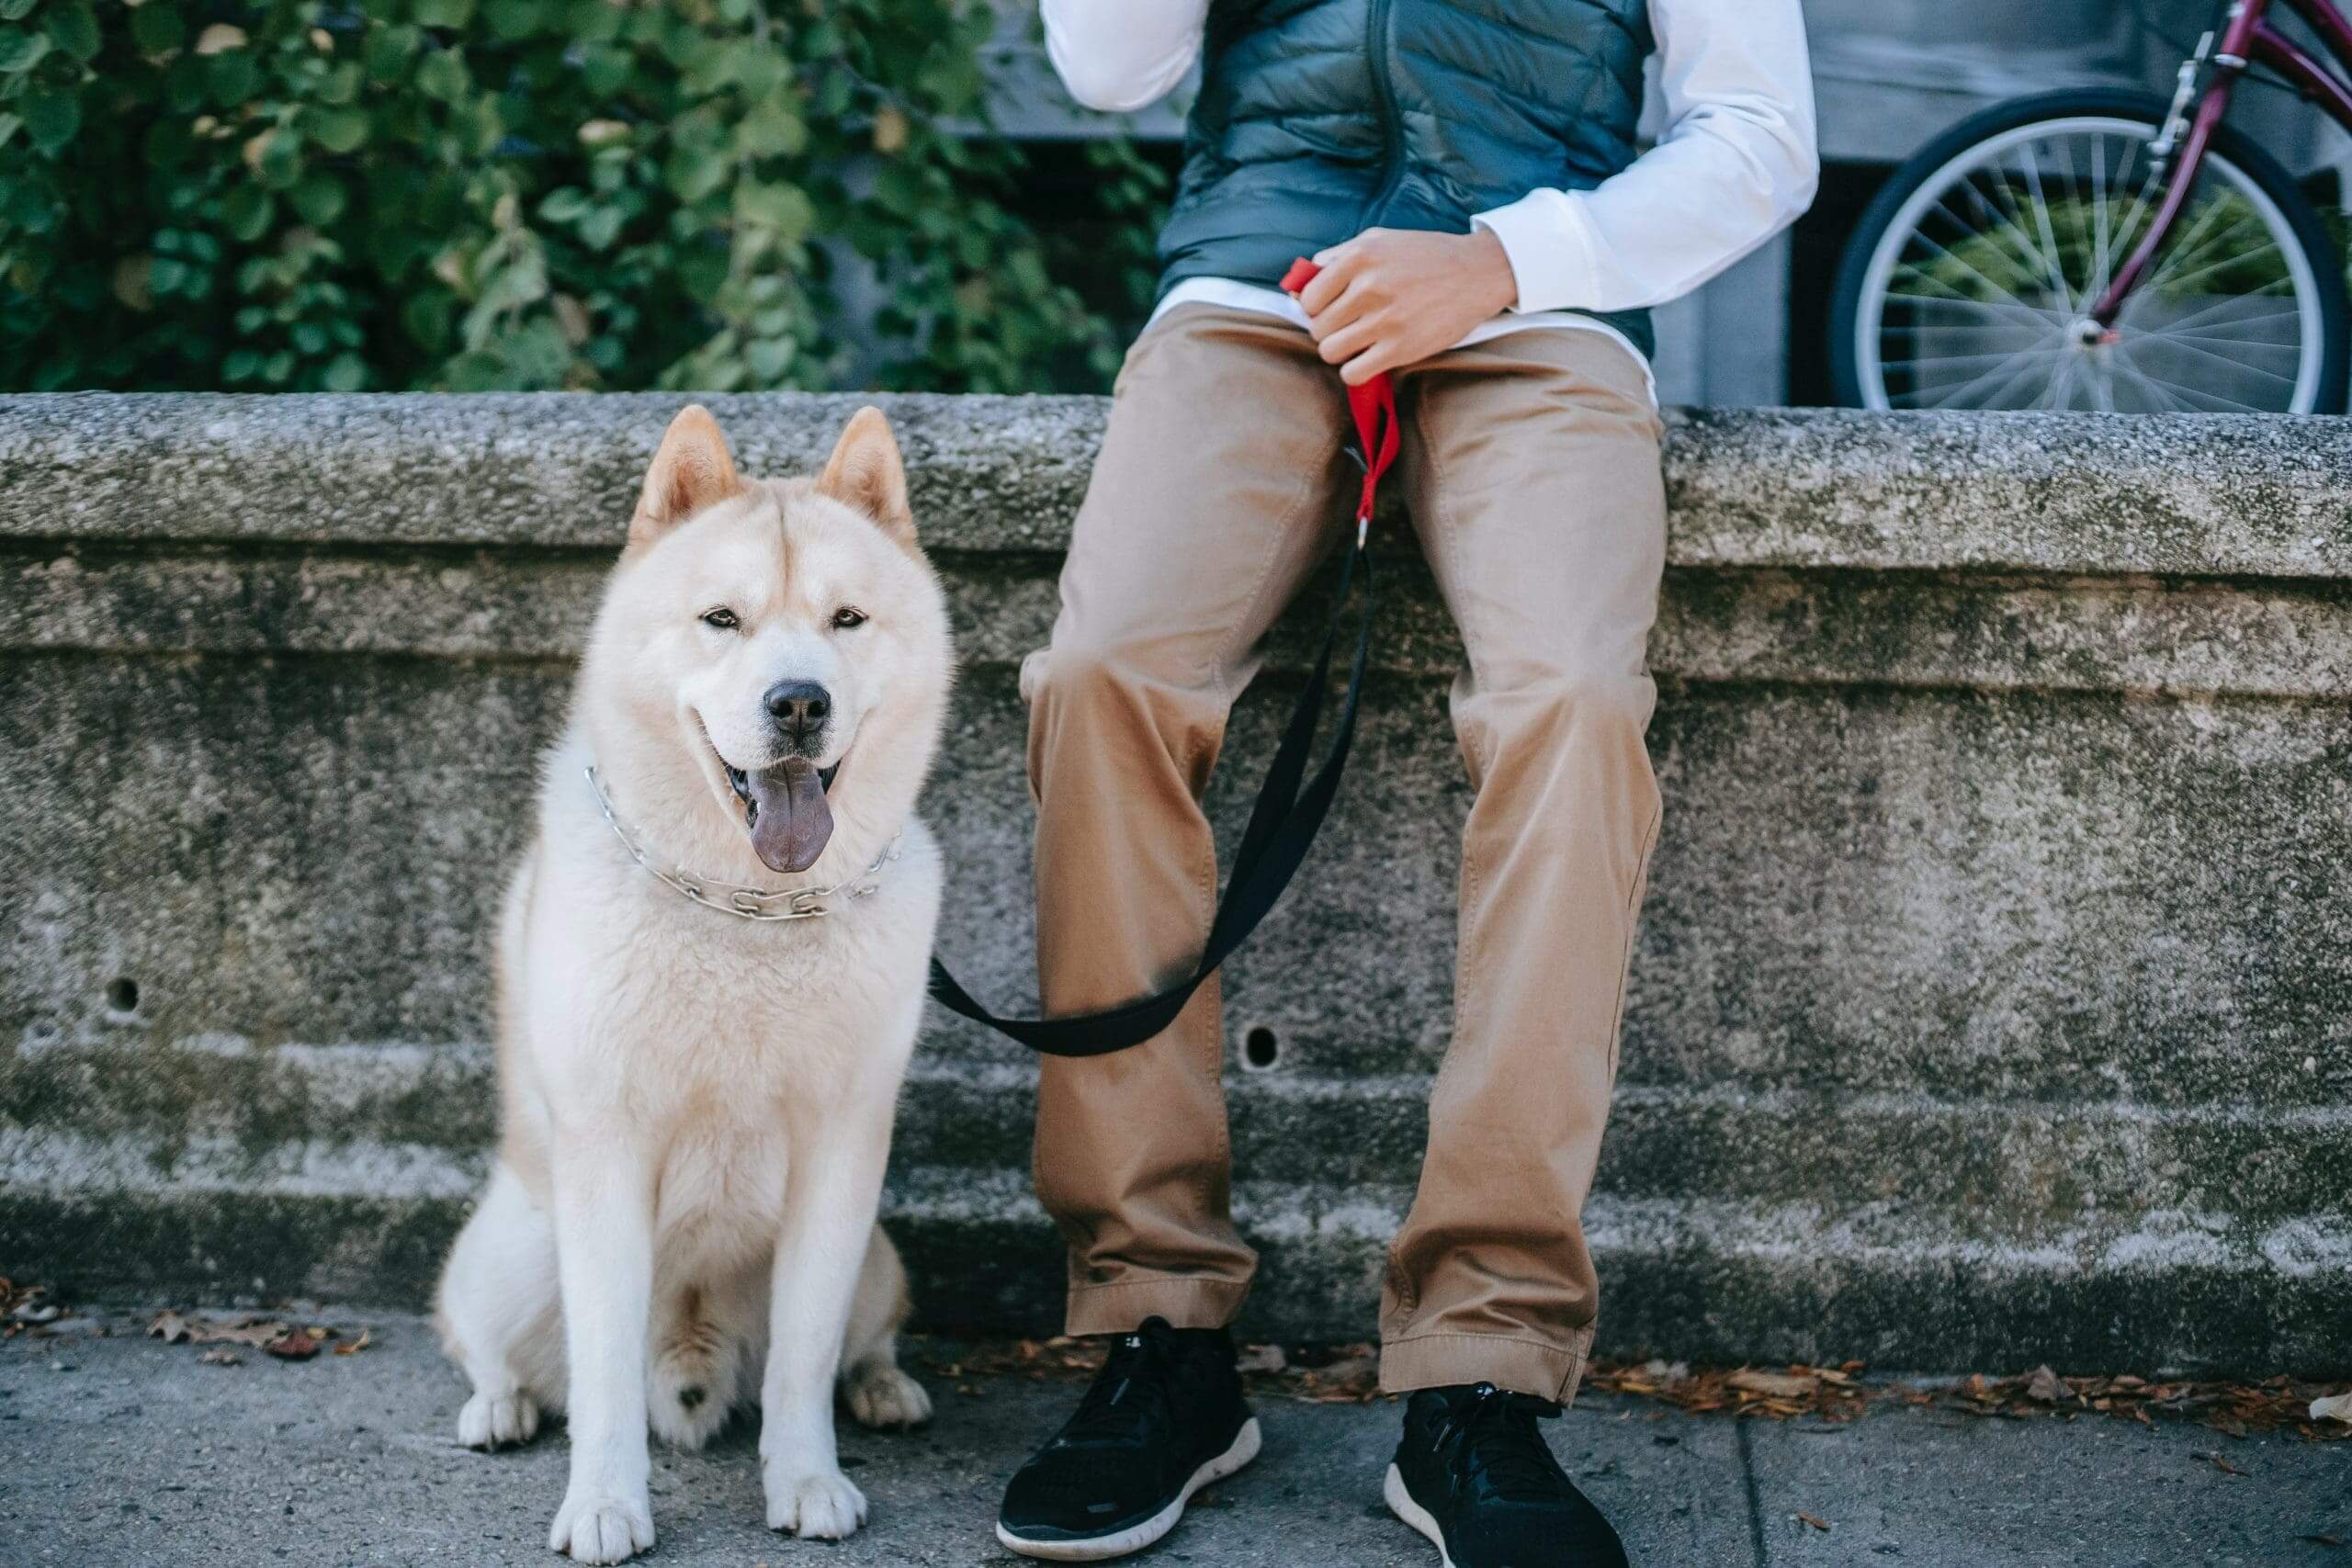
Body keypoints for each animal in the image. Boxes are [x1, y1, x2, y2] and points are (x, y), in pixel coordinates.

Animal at [437, 401, 950, 1561]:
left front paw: (806, 1480)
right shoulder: (606, 1153)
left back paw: (884, 1389)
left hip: (880, 1257)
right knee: (492, 1347)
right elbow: (603, 1372)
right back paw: (497, 1407)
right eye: (722, 618)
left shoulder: (840, 1159)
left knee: (863, 1339)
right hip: (510, 1254)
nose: (799, 702)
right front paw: (604, 1504)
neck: (746, 912)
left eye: (847, 619)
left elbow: (806, 1354)